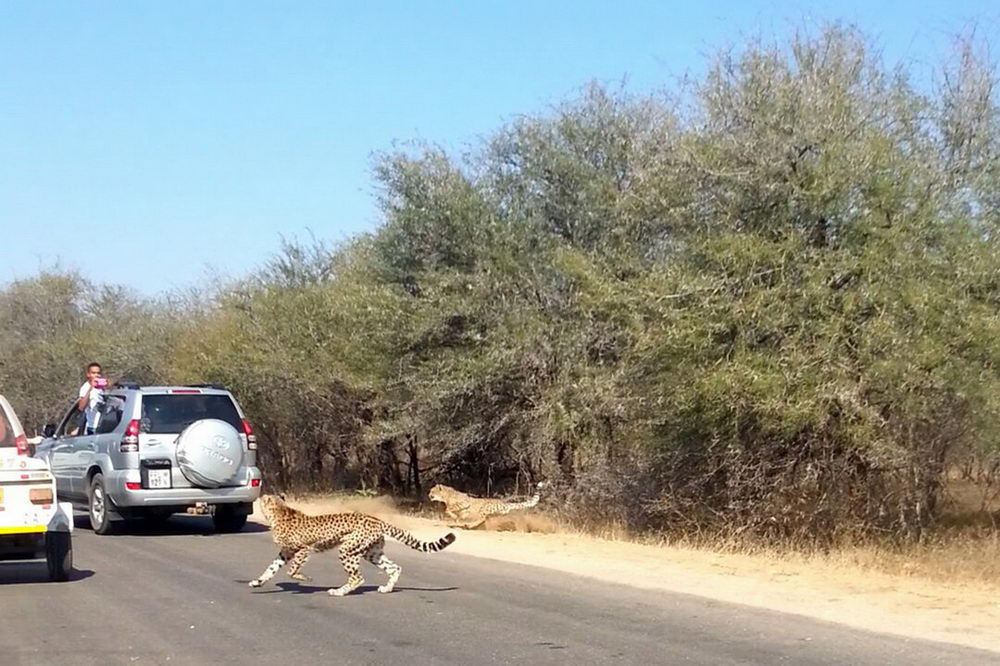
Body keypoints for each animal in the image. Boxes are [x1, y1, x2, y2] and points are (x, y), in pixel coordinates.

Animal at [250, 492, 458, 596]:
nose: (260, 495)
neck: (279, 512)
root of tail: (375, 519)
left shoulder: (303, 548)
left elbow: (291, 570)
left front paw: (303, 578)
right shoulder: (285, 552)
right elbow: (271, 569)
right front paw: (257, 582)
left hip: (347, 550)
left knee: (358, 578)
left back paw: (339, 591)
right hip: (371, 552)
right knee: (394, 567)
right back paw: (387, 588)